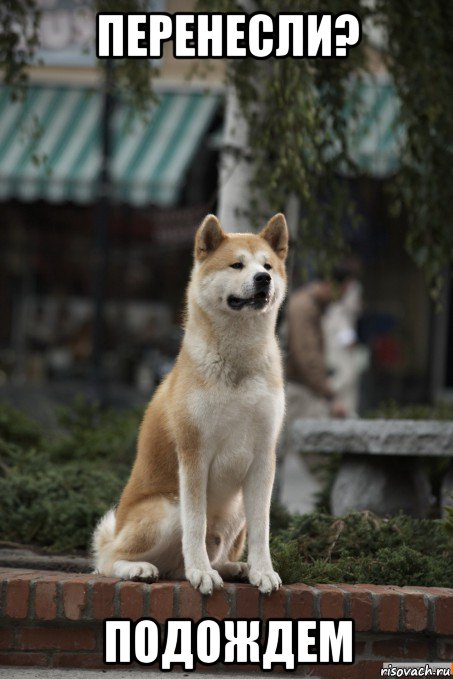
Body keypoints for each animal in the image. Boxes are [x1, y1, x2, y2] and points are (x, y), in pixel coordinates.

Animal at [92, 212, 288, 596]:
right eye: (237, 264)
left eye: (268, 265)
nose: (263, 279)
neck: (238, 364)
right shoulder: (194, 454)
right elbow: (195, 525)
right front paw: (201, 573)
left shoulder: (263, 457)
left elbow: (263, 529)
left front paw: (263, 571)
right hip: (167, 508)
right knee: (107, 559)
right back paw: (142, 568)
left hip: (236, 509)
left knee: (206, 556)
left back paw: (234, 568)